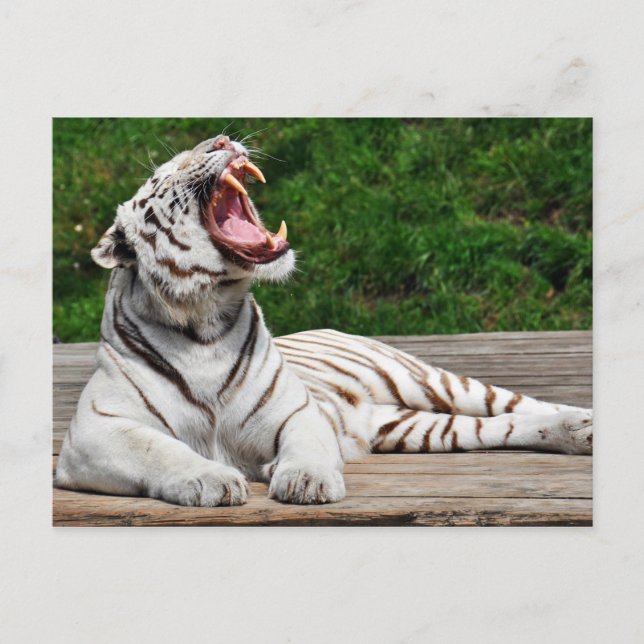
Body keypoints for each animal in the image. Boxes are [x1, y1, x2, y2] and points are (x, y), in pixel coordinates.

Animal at [54, 134, 593, 507]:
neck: (205, 320)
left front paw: (306, 481)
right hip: (413, 427)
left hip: (429, 379)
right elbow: (159, 449)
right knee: (499, 425)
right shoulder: (95, 430)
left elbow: (306, 445)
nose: (222, 142)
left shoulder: (297, 411)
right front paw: (210, 479)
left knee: (520, 403)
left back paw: (584, 421)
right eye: (165, 173)